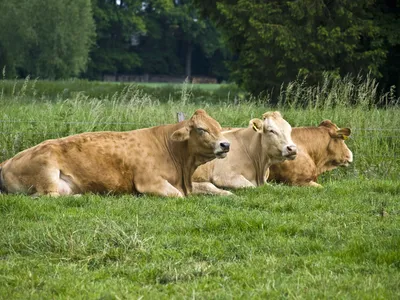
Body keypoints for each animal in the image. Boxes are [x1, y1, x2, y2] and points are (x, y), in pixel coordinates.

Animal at [0, 109, 230, 198]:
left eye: (218, 127)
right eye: (201, 129)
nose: (226, 144)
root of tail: (7, 161)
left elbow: (212, 188)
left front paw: (229, 195)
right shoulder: (150, 182)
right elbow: (178, 195)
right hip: (48, 175)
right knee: (45, 196)